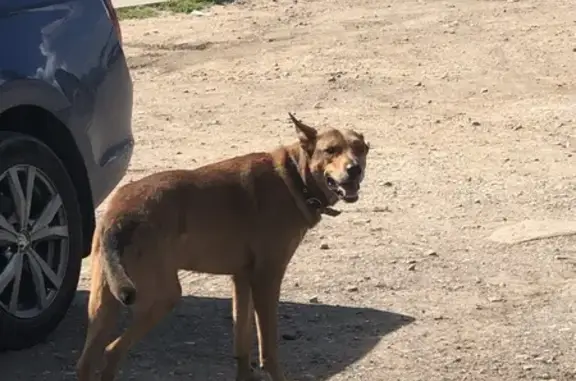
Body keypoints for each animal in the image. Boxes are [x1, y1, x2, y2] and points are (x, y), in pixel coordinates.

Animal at [75, 113, 368, 380]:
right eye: (330, 150)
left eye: (361, 148)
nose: (355, 169)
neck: (294, 177)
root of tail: (119, 214)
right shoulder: (266, 278)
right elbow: (268, 349)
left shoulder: (241, 279)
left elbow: (242, 341)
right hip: (162, 296)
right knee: (112, 351)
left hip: (103, 303)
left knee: (87, 361)